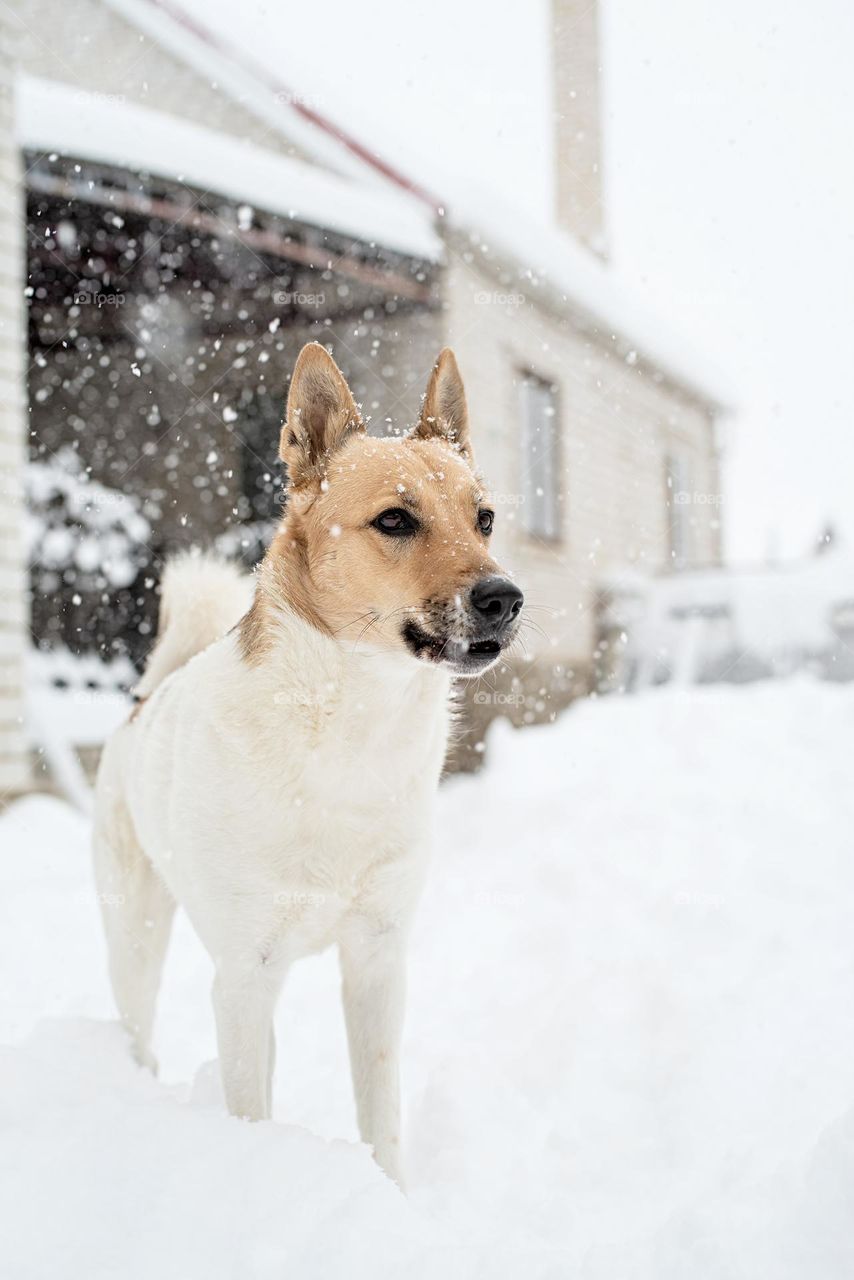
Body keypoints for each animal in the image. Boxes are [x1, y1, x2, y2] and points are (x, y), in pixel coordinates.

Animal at [92, 337, 522, 1177]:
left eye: (484, 518)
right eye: (395, 520)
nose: (506, 599)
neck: (347, 726)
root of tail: (144, 700)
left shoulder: (379, 960)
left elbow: (381, 1117)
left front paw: (391, 1194)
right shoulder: (245, 974)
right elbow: (250, 1112)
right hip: (137, 931)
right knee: (137, 1031)